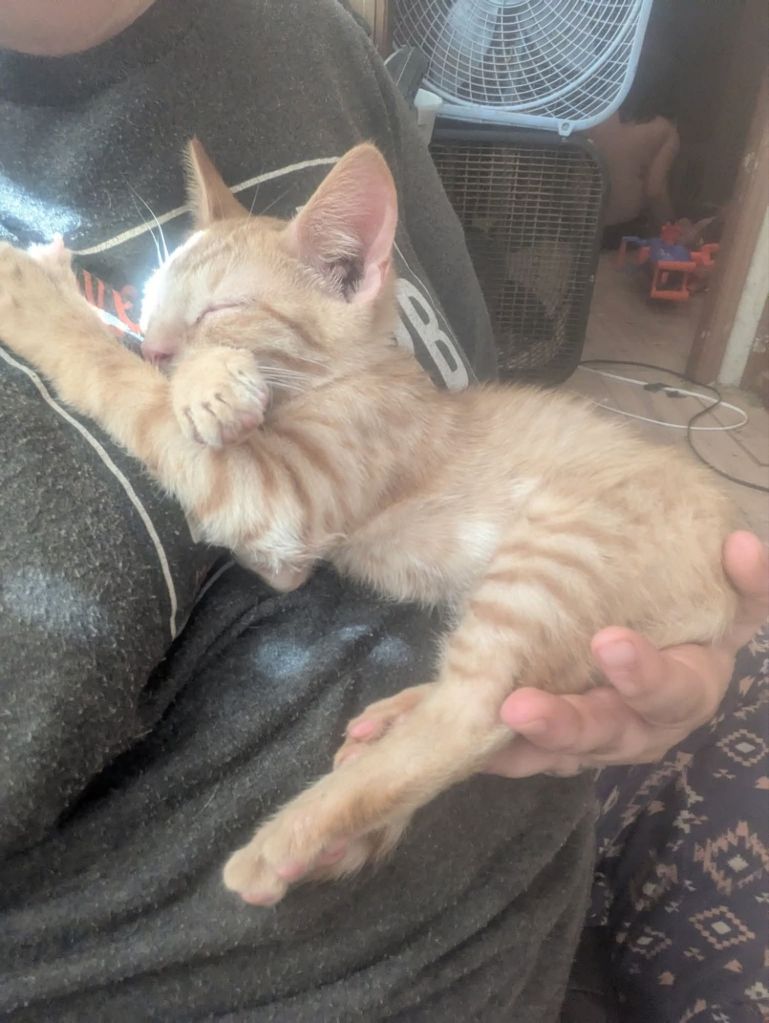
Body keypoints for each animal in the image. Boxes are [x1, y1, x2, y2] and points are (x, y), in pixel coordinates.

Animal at [0, 139, 738, 907]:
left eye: (221, 309)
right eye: (149, 302)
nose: (153, 346)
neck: (355, 378)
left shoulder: (281, 498)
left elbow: (132, 391)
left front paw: (39, 301)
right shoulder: (284, 554)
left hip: (555, 555)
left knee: (474, 717)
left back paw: (289, 840)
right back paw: (387, 731)